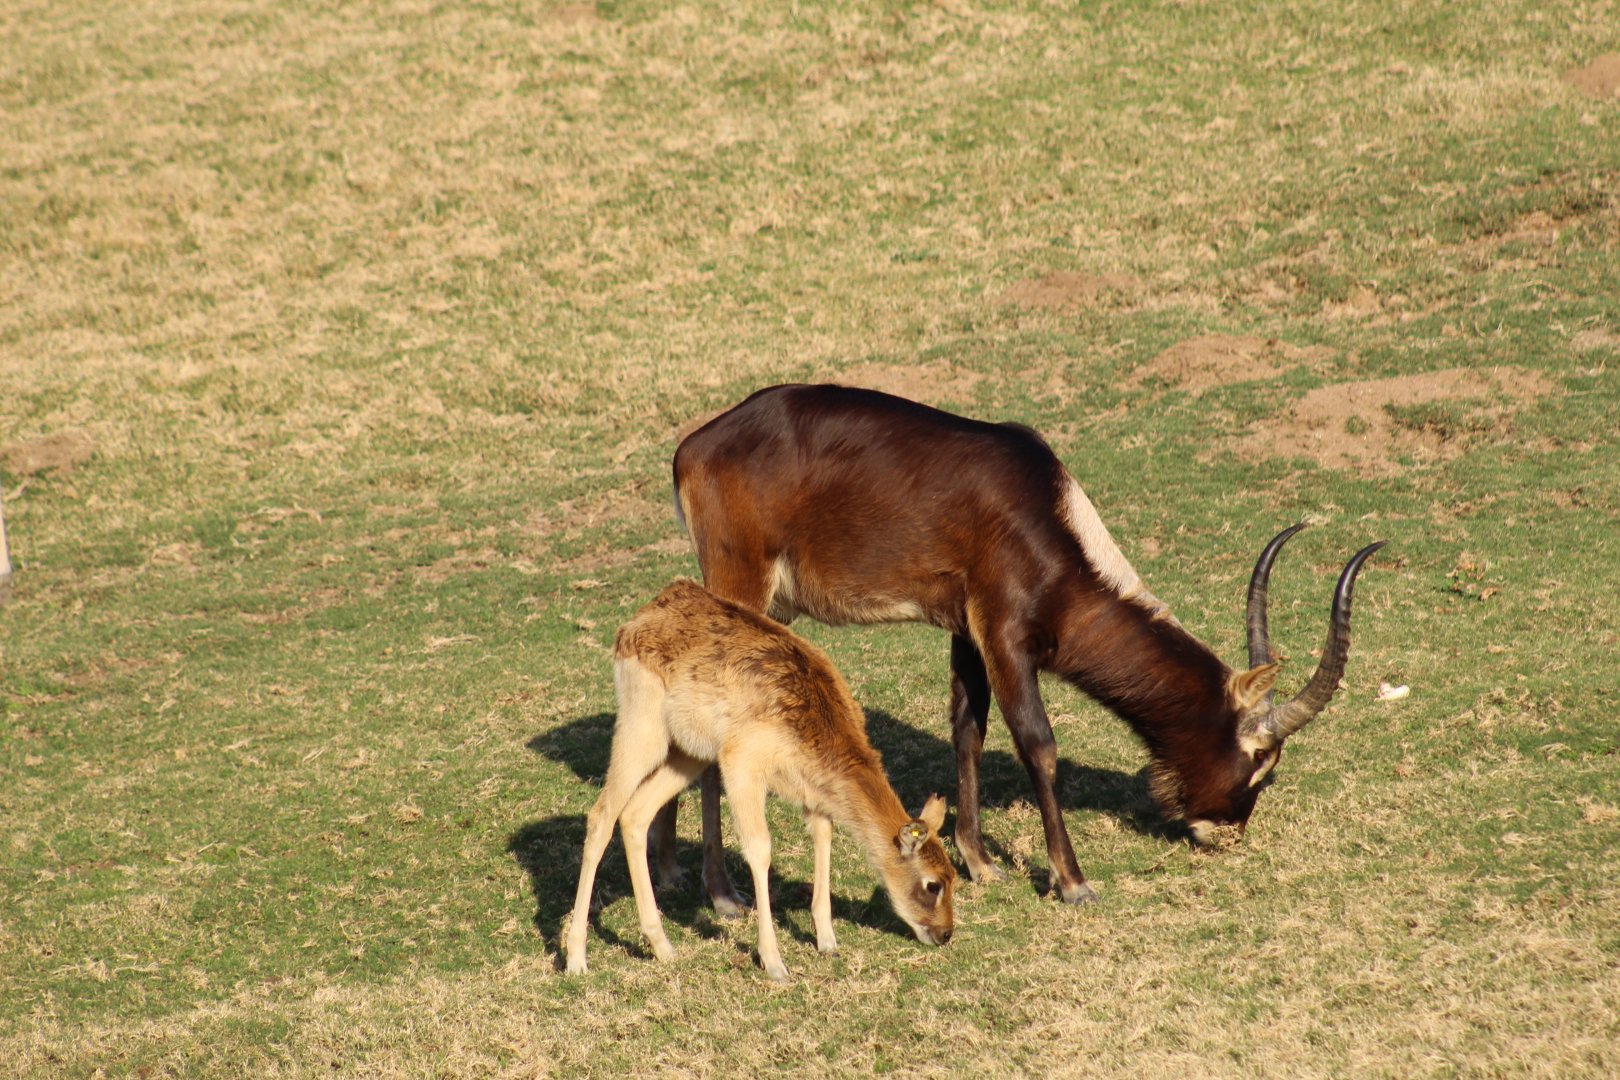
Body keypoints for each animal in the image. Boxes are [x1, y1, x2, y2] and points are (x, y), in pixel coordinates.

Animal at [564, 578, 955, 980]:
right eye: (932, 885)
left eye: (954, 874)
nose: (946, 933)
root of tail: (632, 624)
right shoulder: (742, 763)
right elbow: (759, 848)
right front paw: (774, 962)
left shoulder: (811, 793)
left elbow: (824, 835)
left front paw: (827, 941)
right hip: (641, 725)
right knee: (602, 815)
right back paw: (576, 957)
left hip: (688, 752)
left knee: (635, 815)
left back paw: (662, 947)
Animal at [656, 383, 1383, 908]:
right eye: (1261, 760)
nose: (1226, 832)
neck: (1042, 515)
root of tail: (695, 445)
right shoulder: (1006, 634)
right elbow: (1038, 742)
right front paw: (1073, 881)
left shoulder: (967, 630)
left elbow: (968, 727)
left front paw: (979, 861)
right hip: (743, 587)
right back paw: (721, 895)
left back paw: (671, 873)